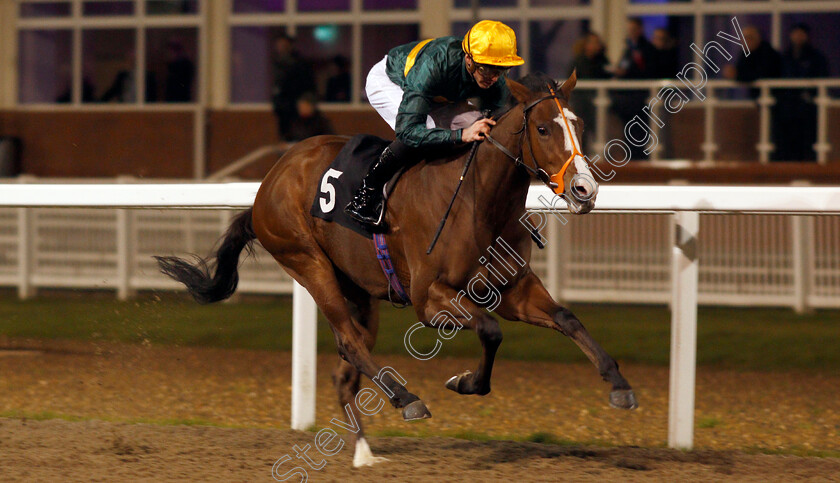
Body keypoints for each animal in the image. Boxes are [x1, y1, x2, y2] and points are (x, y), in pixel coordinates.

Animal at [154, 72, 636, 468]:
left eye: (579, 125)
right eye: (542, 128)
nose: (584, 189)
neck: (477, 199)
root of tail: (269, 181)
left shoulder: (512, 288)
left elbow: (565, 318)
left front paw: (618, 383)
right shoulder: (430, 298)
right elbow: (489, 330)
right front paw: (463, 382)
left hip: (359, 290)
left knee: (346, 366)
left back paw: (365, 453)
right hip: (308, 263)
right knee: (349, 342)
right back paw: (407, 399)